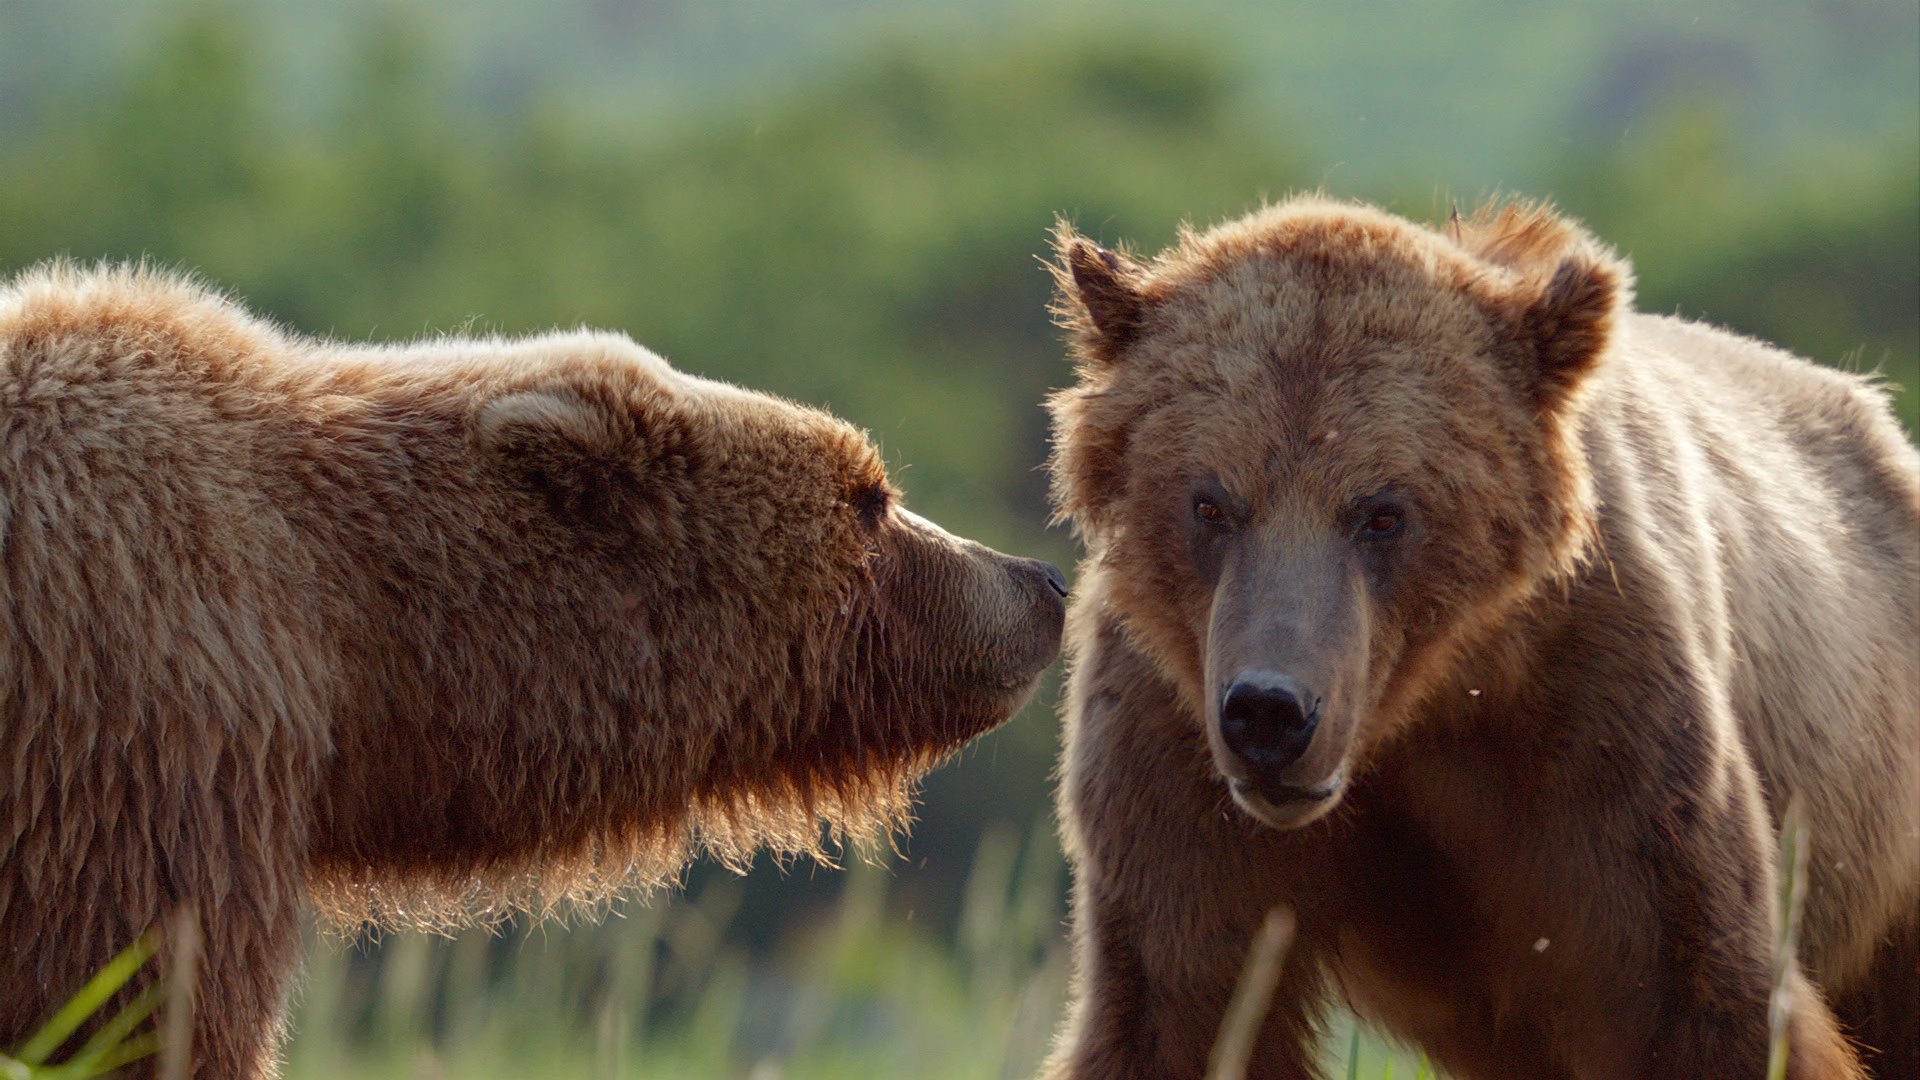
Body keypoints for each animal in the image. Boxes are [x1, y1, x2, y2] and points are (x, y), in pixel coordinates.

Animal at [1044, 197, 1912, 1068]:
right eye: (1210, 502)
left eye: (1384, 512)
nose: (1270, 712)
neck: (1424, 703)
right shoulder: (1173, 752)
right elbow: (1179, 1010)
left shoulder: (1601, 727)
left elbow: (1696, 997)